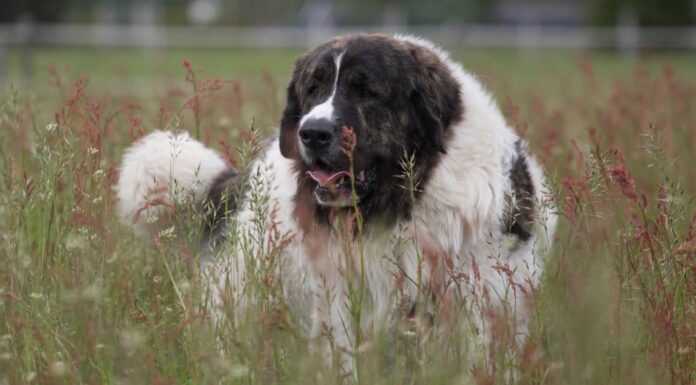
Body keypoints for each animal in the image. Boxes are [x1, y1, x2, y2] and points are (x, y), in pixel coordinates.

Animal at [117, 33, 556, 372]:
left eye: (366, 91)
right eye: (313, 89)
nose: (312, 133)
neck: (401, 205)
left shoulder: (482, 303)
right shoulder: (341, 304)